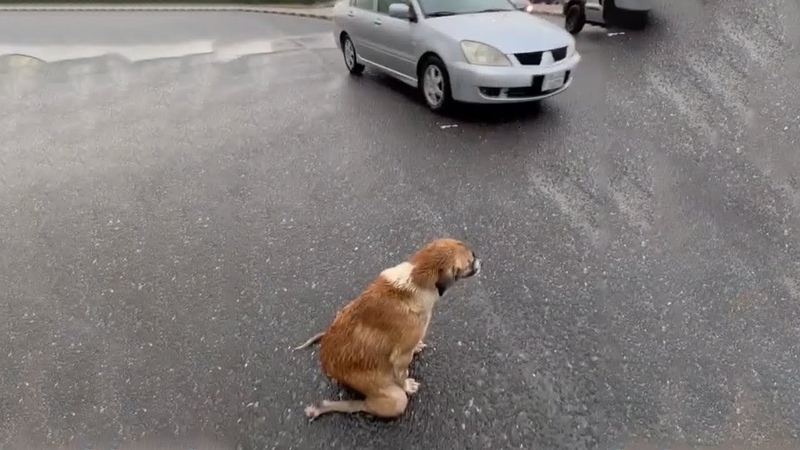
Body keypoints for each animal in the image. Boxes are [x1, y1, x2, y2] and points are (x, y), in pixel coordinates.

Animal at [294, 237, 482, 420]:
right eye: (470, 261)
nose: (478, 258)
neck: (416, 280)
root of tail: (328, 367)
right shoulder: (401, 357)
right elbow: (402, 374)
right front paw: (407, 384)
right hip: (394, 398)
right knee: (364, 405)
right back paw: (323, 407)